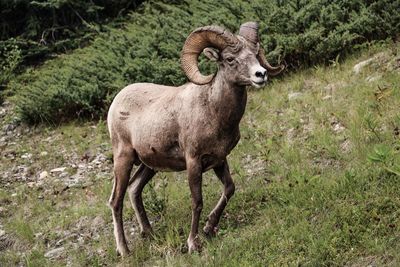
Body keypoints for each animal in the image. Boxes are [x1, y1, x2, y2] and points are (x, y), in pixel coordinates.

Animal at [104, 22, 282, 256]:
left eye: (255, 54)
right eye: (230, 59)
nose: (261, 74)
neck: (213, 111)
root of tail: (117, 101)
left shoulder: (219, 159)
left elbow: (229, 188)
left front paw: (209, 228)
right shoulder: (193, 162)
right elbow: (197, 202)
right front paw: (193, 243)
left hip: (149, 165)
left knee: (134, 189)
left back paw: (149, 233)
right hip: (123, 158)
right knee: (116, 201)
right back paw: (124, 250)